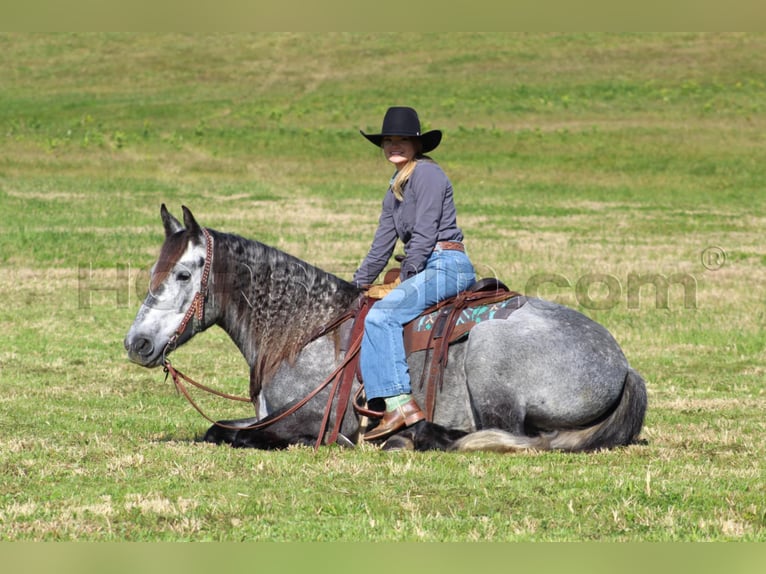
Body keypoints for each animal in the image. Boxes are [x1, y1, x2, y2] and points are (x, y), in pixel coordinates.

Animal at [124, 205, 648, 452]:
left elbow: (226, 433)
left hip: (489, 357)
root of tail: (623, 366)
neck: (308, 330)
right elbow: (219, 427)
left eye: (183, 274)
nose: (137, 343)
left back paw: (411, 435)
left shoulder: (311, 425)